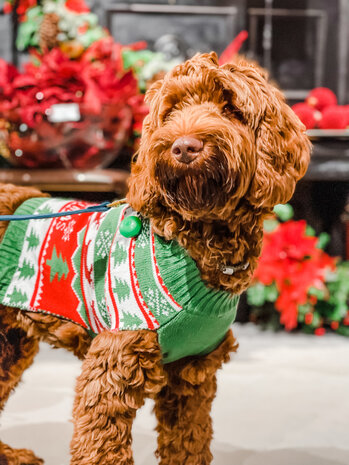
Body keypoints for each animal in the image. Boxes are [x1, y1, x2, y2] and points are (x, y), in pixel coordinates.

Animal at [0, 51, 308, 464]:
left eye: (230, 107)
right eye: (172, 110)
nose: (184, 147)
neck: (197, 245)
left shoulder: (192, 375)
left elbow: (189, 444)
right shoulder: (111, 369)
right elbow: (102, 449)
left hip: (11, 341)